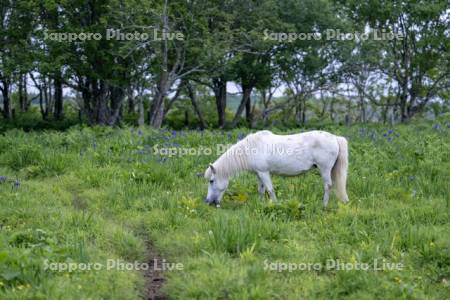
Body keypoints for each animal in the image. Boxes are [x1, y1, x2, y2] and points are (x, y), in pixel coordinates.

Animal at [206, 130, 350, 207]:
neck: (252, 148)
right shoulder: (259, 174)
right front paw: (260, 204)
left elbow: (270, 190)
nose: (208, 201)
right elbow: (261, 190)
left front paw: (275, 205)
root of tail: (335, 138)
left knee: (328, 186)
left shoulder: (264, 173)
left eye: (211, 181)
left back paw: (324, 205)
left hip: (324, 169)